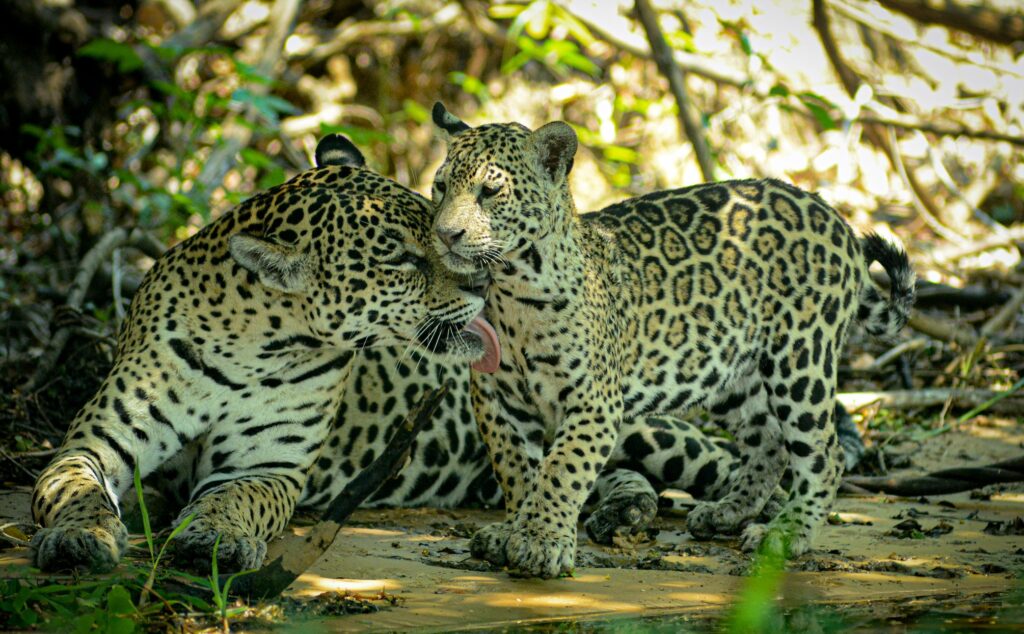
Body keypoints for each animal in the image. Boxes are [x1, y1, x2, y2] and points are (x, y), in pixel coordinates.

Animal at [428, 102, 915, 578]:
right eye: (441, 187)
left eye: (490, 192)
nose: (445, 235)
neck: (512, 289)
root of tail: (834, 217)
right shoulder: (497, 400)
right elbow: (517, 470)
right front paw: (513, 530)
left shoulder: (593, 401)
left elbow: (563, 469)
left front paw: (540, 541)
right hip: (729, 373)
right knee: (770, 442)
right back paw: (727, 513)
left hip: (799, 360)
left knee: (824, 455)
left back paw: (785, 532)